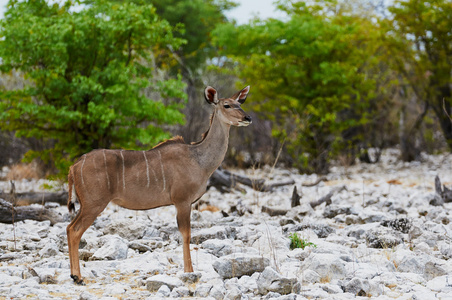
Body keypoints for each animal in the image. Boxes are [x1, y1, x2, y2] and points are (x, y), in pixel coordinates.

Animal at [66, 84, 252, 284]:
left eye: (240, 103)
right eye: (227, 105)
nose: (247, 118)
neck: (199, 160)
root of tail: (74, 166)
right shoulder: (182, 201)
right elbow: (186, 234)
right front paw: (189, 271)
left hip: (86, 204)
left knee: (69, 228)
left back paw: (74, 275)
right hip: (94, 204)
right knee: (74, 230)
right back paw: (78, 277)